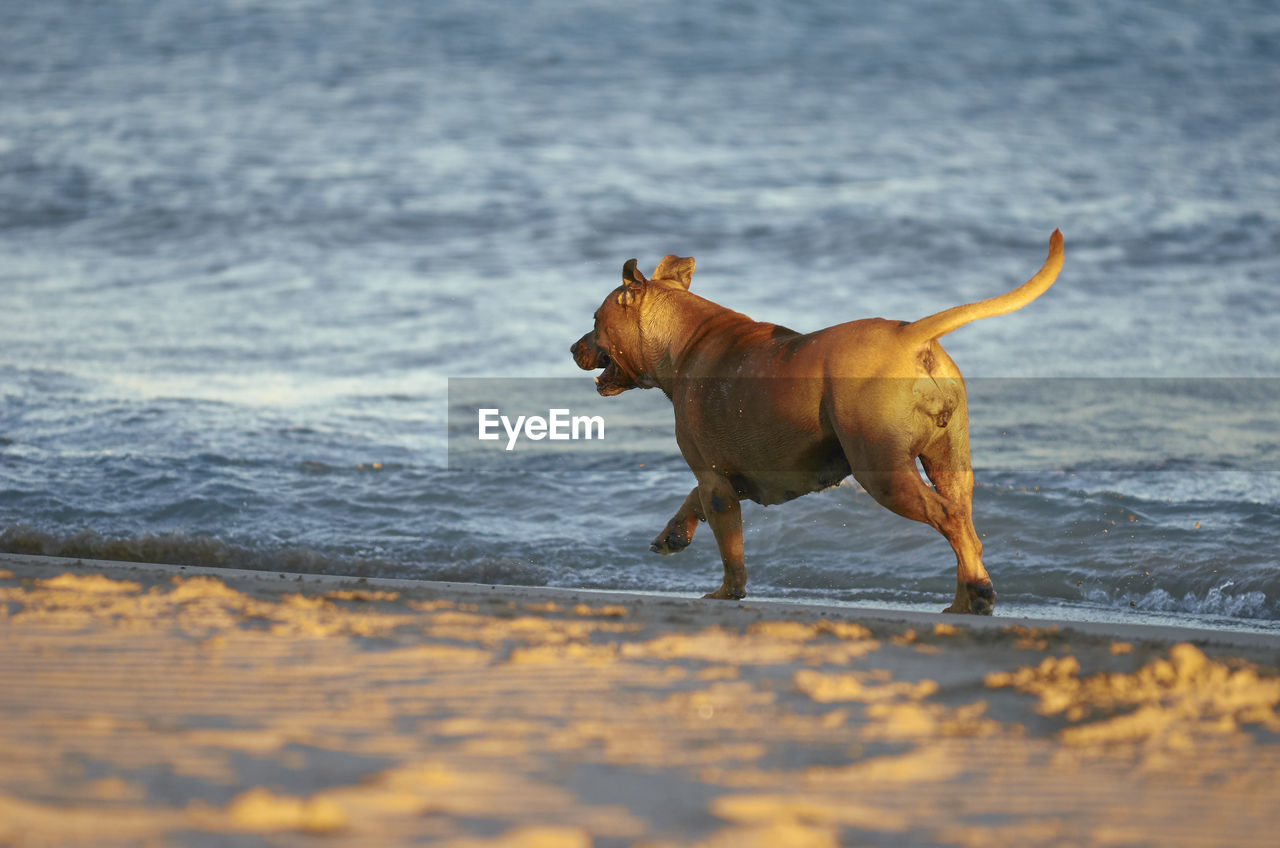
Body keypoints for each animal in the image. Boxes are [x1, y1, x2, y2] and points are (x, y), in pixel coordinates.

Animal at [570, 233, 1059, 617]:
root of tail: (909, 334)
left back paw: (976, 594)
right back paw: (965, 599)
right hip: (949, 465)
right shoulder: (738, 479)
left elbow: (731, 550)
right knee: (965, 525)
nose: (573, 347)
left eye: (596, 321)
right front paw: (672, 534)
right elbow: (692, 501)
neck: (682, 340)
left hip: (883, 473)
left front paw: (728, 592)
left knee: (949, 520)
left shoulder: (716, 483)